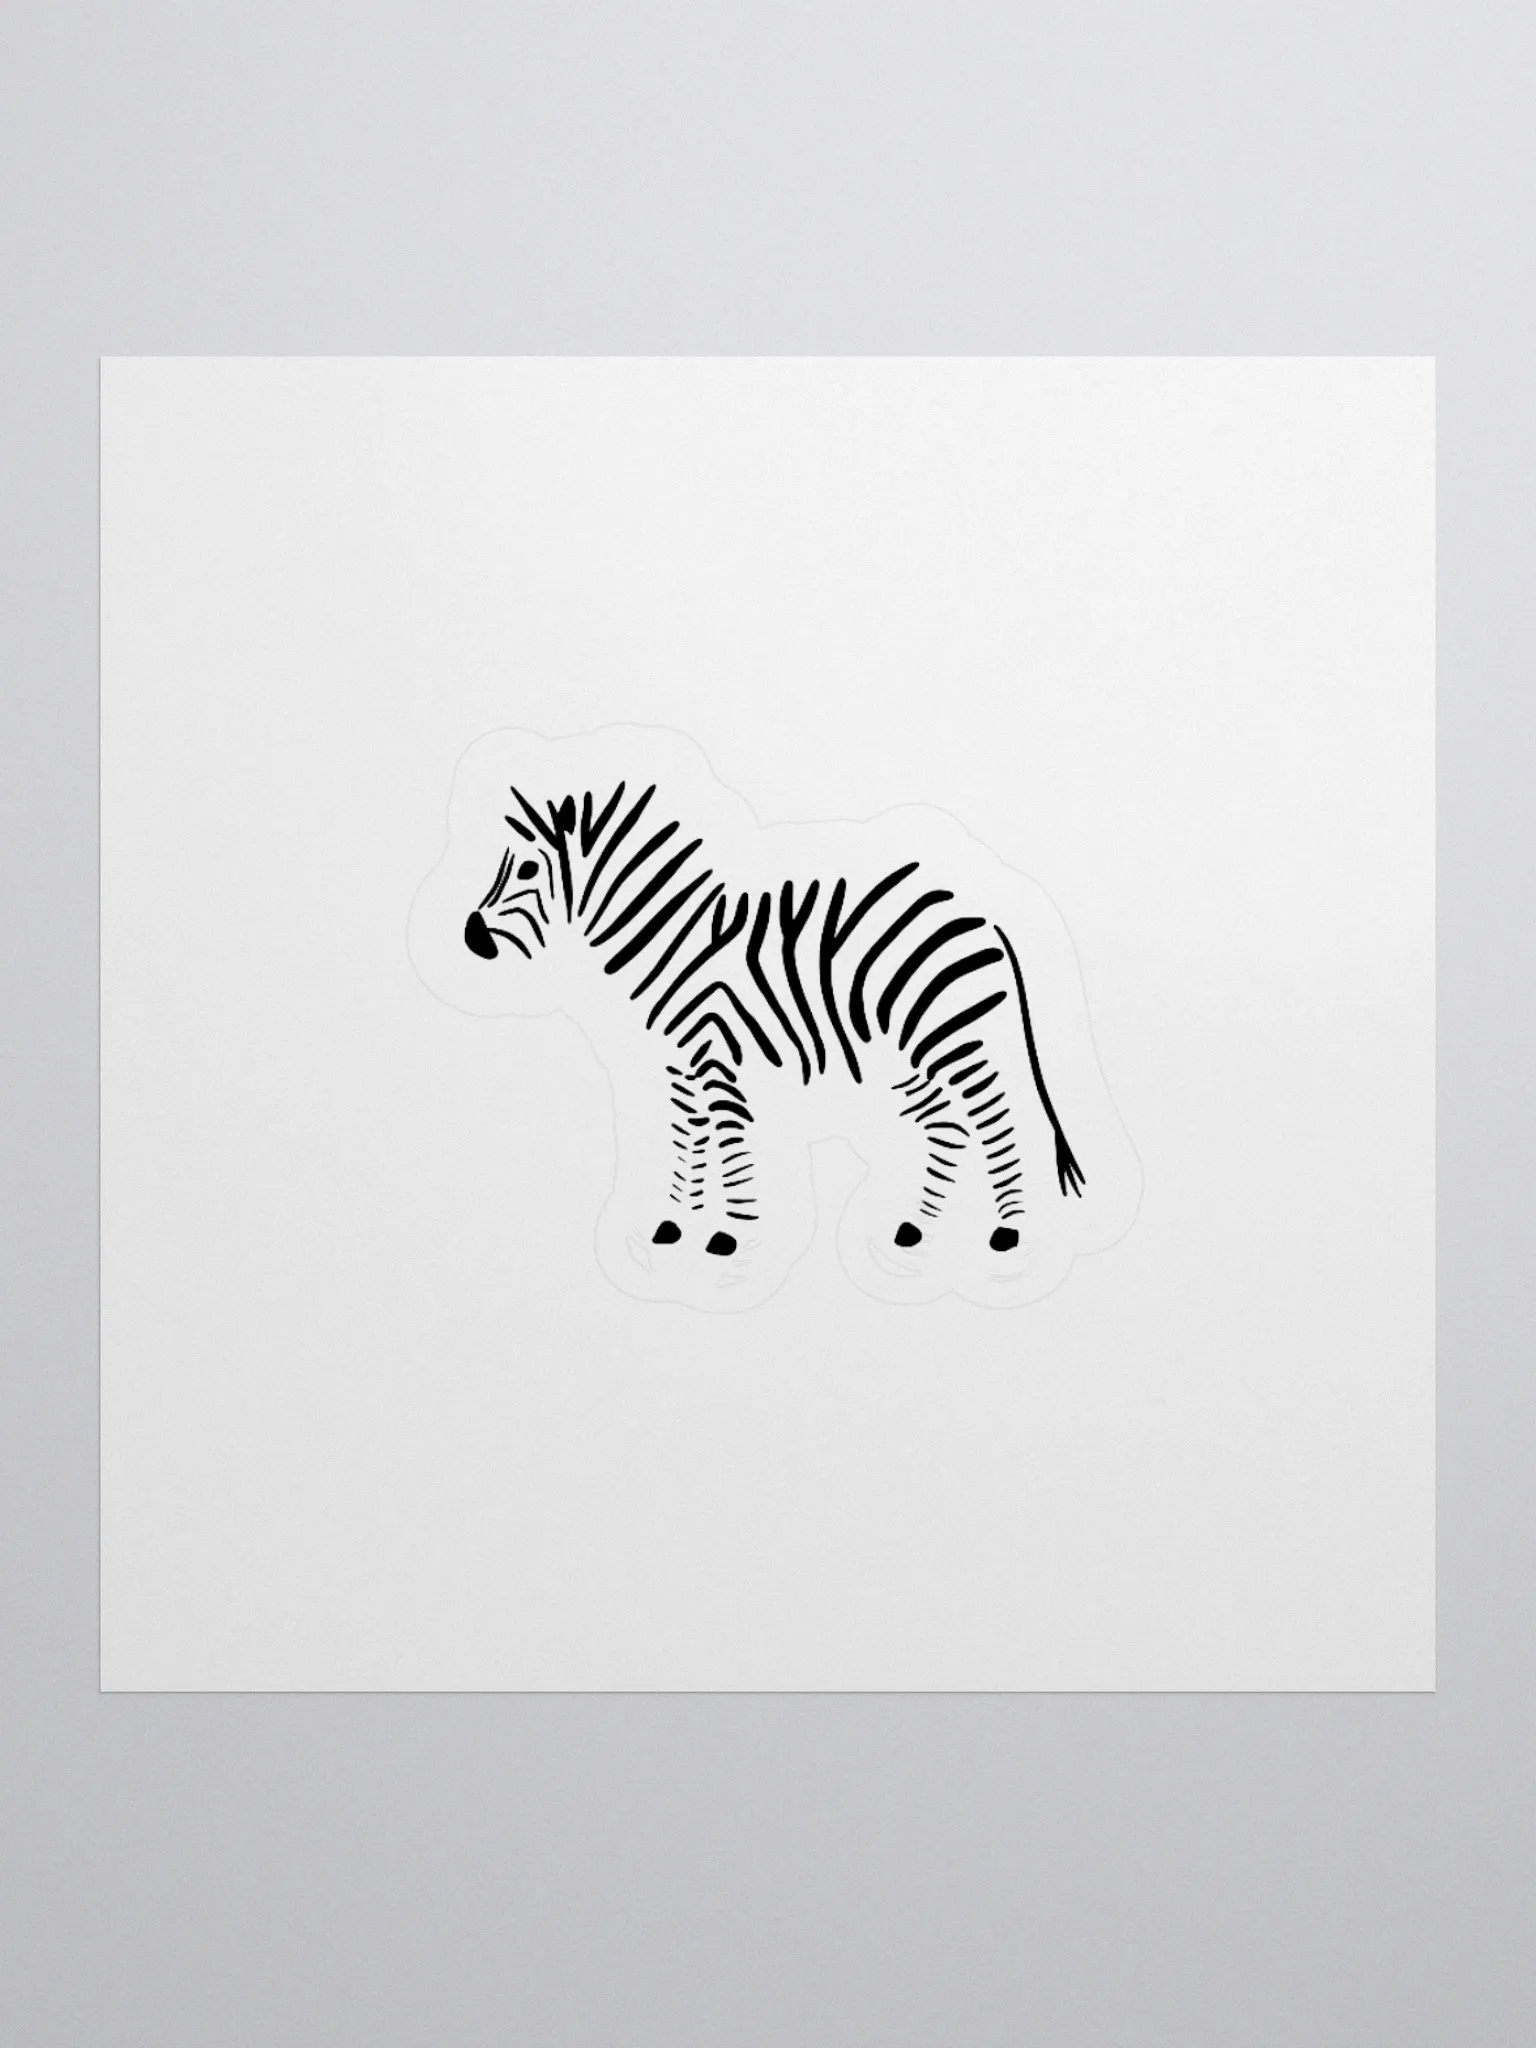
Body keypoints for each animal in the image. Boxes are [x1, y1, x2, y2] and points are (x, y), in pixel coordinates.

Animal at [410, 726, 1140, 1310]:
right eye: (503, 863)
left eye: (528, 868)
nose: (472, 937)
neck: (671, 939)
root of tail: (985, 913)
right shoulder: (680, 1061)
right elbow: (687, 1135)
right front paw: (675, 1228)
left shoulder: (716, 1054)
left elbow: (728, 1141)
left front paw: (727, 1236)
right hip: (913, 1049)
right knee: (948, 1127)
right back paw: (915, 1231)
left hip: (956, 1037)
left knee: (996, 1119)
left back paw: (1007, 1232)